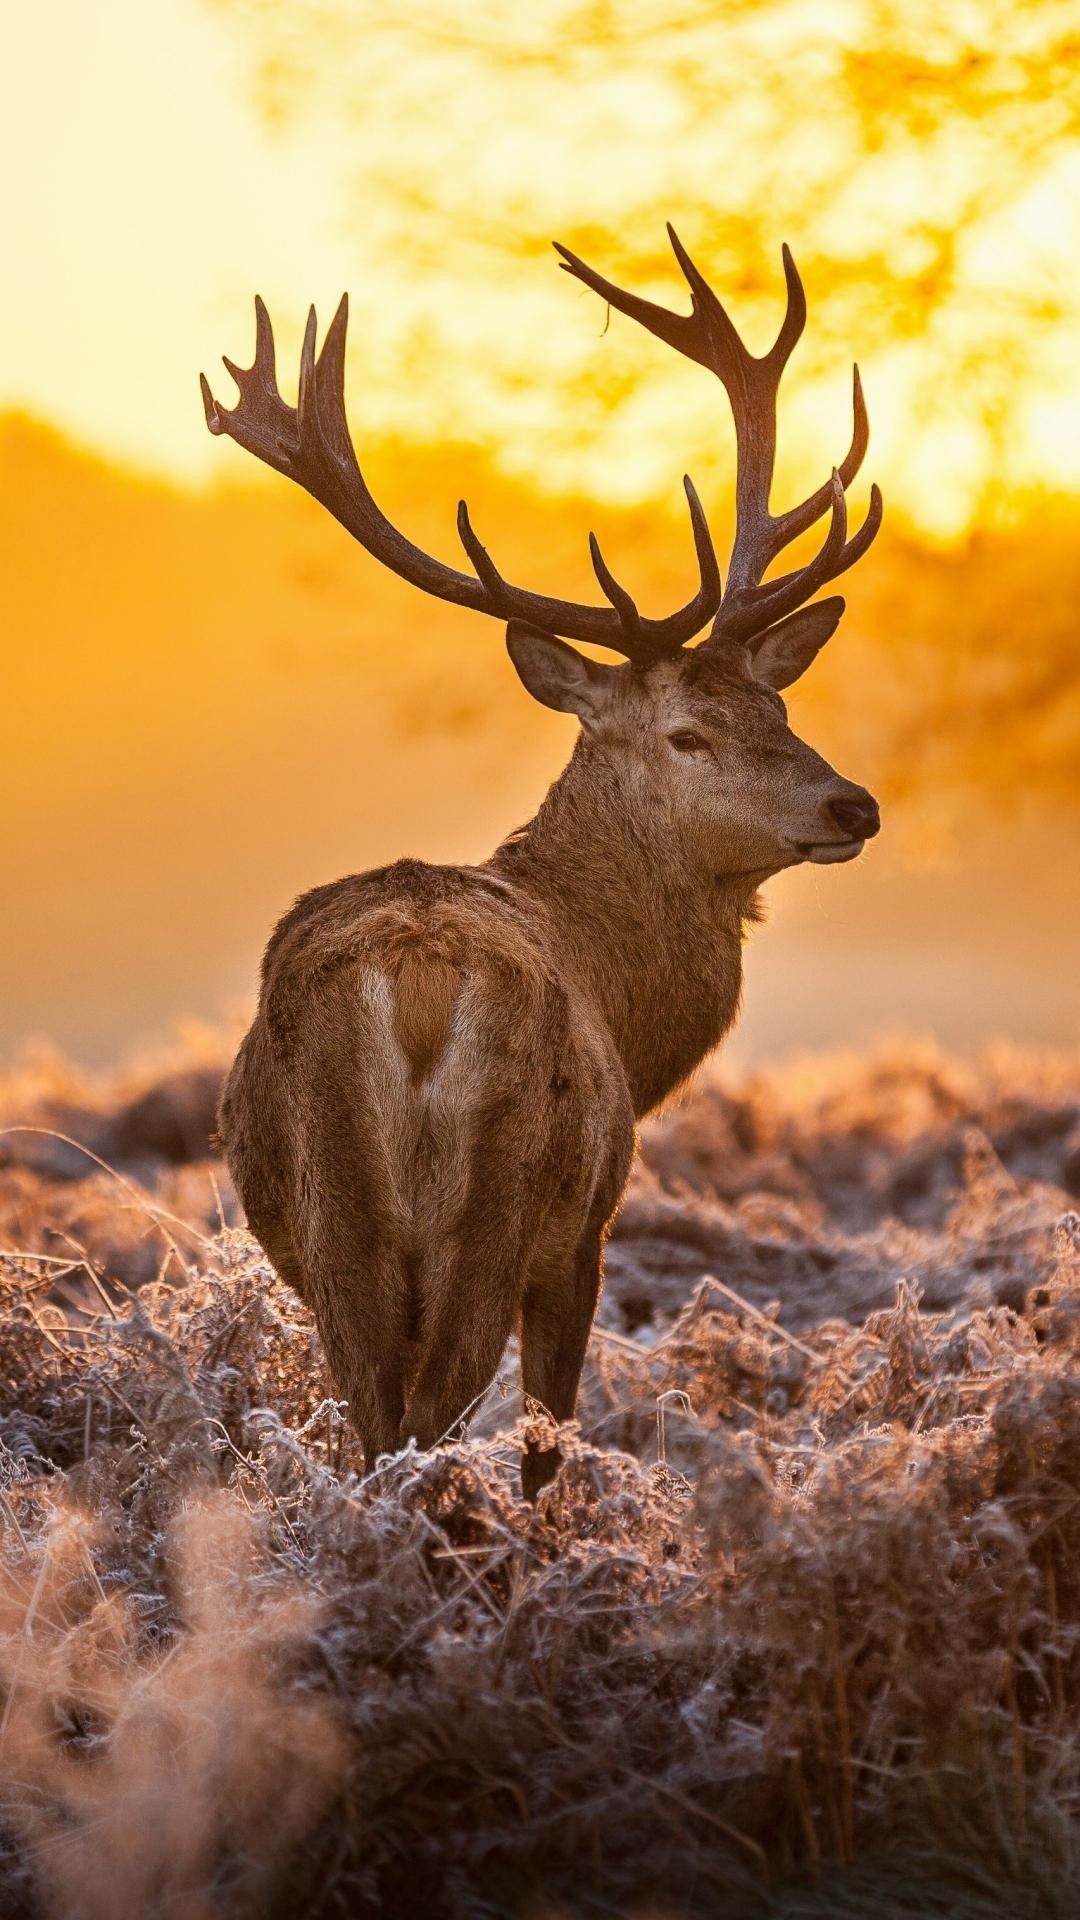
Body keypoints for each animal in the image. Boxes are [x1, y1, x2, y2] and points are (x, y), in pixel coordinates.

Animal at [201, 225, 882, 1499]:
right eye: (688, 733)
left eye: (778, 705)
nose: (853, 803)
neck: (628, 1004)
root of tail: (416, 981)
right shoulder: (588, 1229)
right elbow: (548, 1441)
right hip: (503, 1199)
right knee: (431, 1423)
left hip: (330, 1218)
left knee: (375, 1422)